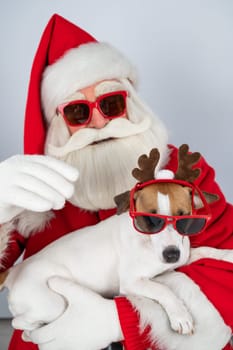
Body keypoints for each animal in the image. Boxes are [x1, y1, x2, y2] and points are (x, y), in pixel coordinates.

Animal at [0, 145, 232, 342]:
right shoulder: (133, 282)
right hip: (51, 304)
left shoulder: (181, 254)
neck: (147, 241)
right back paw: (32, 331)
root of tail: (14, 271)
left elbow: (203, 250)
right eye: (150, 220)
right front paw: (180, 315)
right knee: (19, 322)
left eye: (184, 218)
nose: (171, 255)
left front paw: (226, 255)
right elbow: (163, 290)